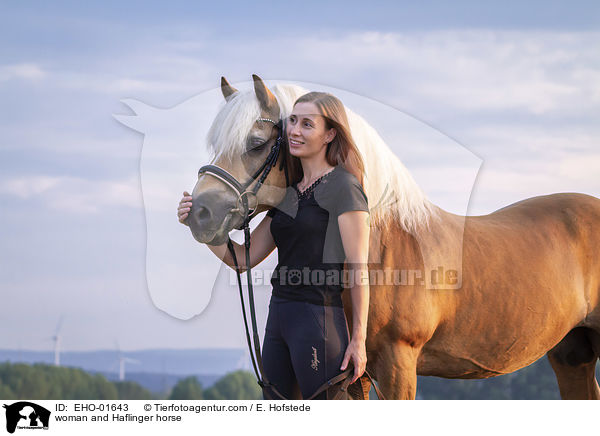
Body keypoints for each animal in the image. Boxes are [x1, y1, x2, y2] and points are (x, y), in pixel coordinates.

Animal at [188, 74, 600, 398]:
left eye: (257, 143)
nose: (199, 212)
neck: (382, 243)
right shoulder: (354, 378)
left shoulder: (397, 364)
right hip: (571, 354)